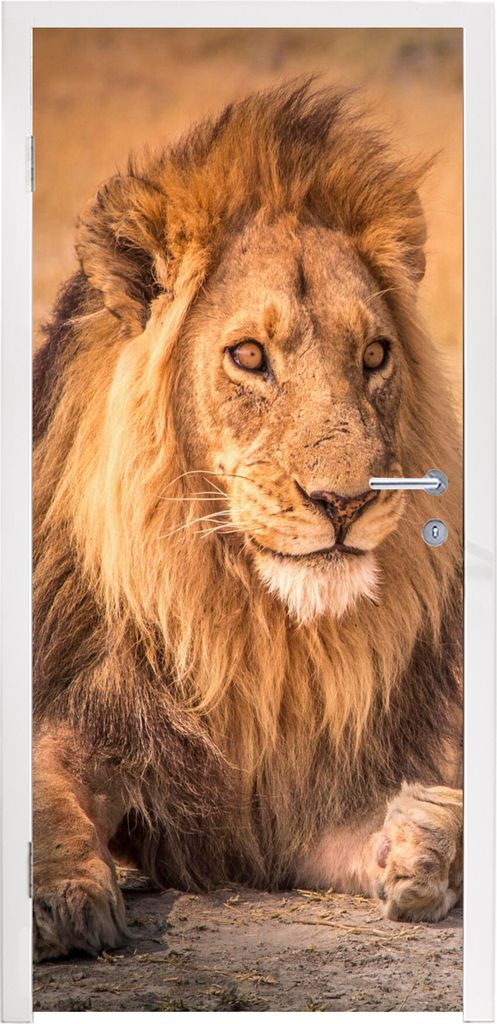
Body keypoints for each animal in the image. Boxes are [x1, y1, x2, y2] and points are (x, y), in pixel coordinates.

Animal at [33, 82, 463, 962]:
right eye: (249, 357)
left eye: (374, 356)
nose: (346, 501)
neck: (251, 628)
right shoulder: (97, 707)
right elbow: (43, 783)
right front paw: (66, 890)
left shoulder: (297, 806)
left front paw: (427, 836)